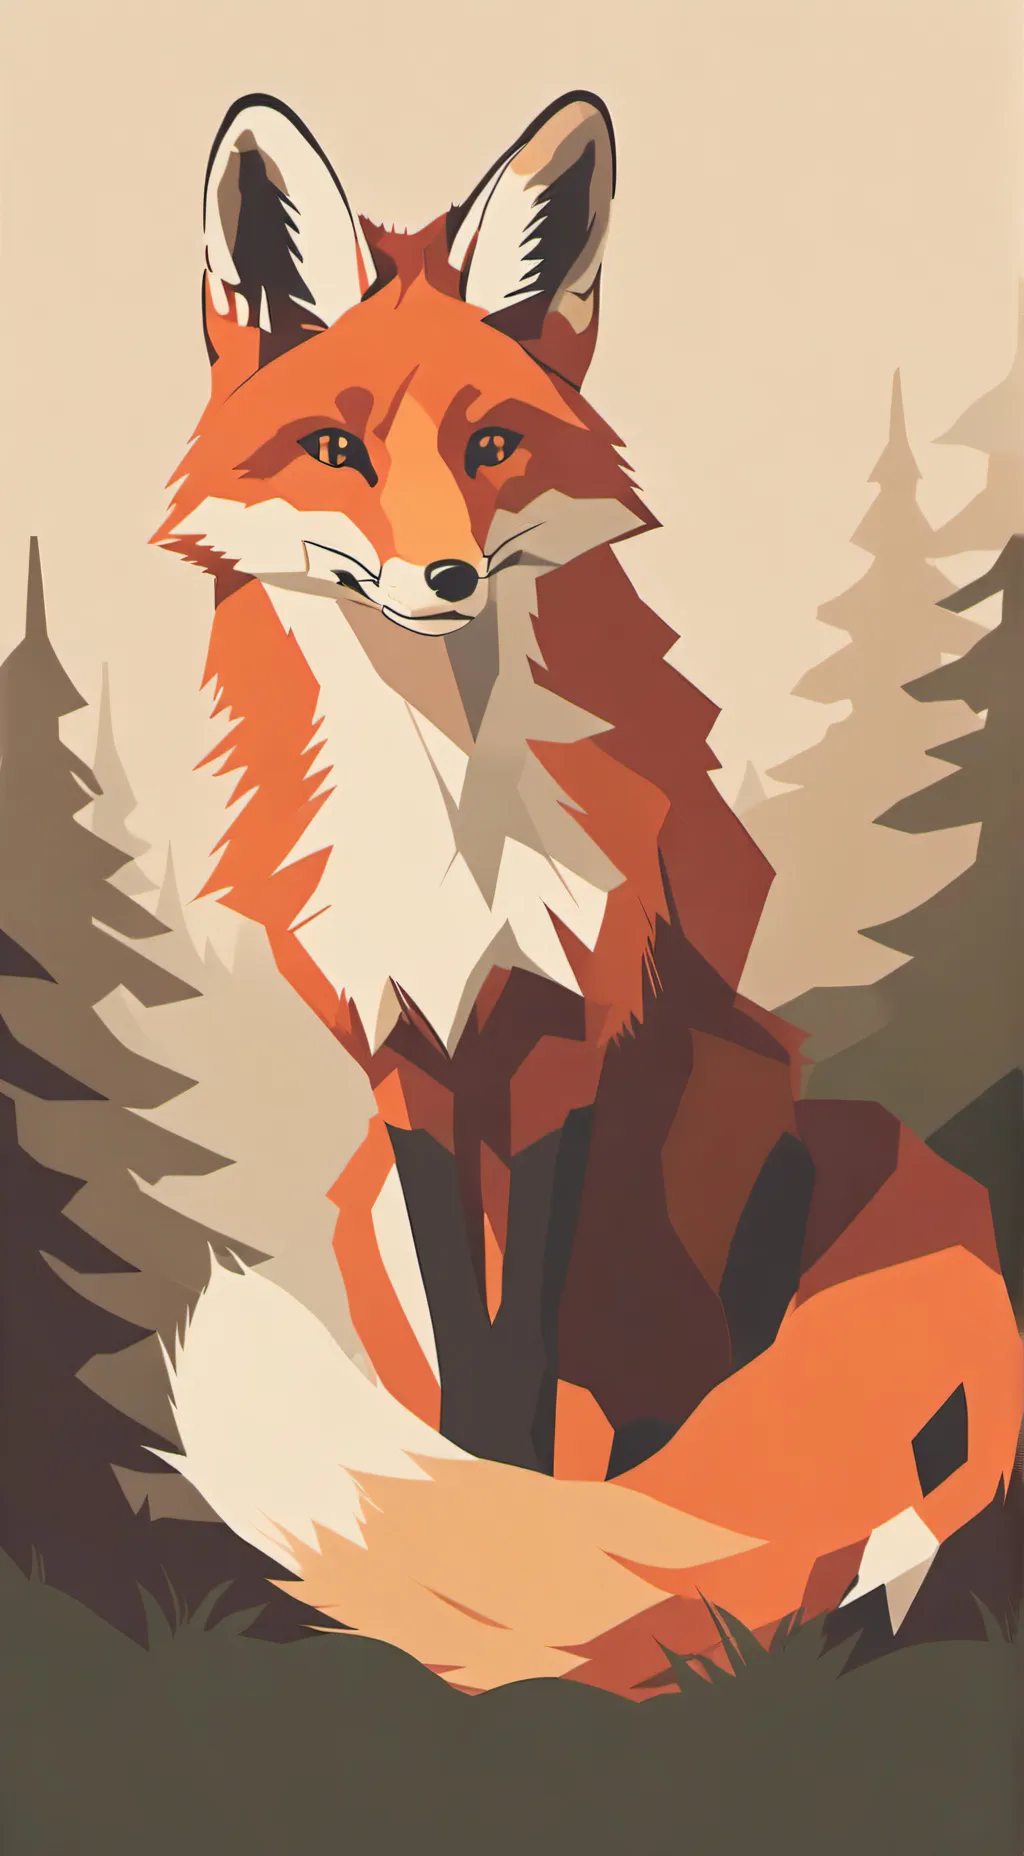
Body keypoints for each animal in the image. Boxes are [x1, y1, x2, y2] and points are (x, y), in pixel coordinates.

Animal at [152, 91, 1021, 1695]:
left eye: (491, 443)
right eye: (334, 449)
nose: (443, 577)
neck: (440, 807)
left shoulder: (572, 1027)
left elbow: (529, 1344)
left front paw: (510, 1527)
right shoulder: (407, 1057)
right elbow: (468, 1333)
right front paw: (477, 1509)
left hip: (735, 1107)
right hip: (362, 1197)